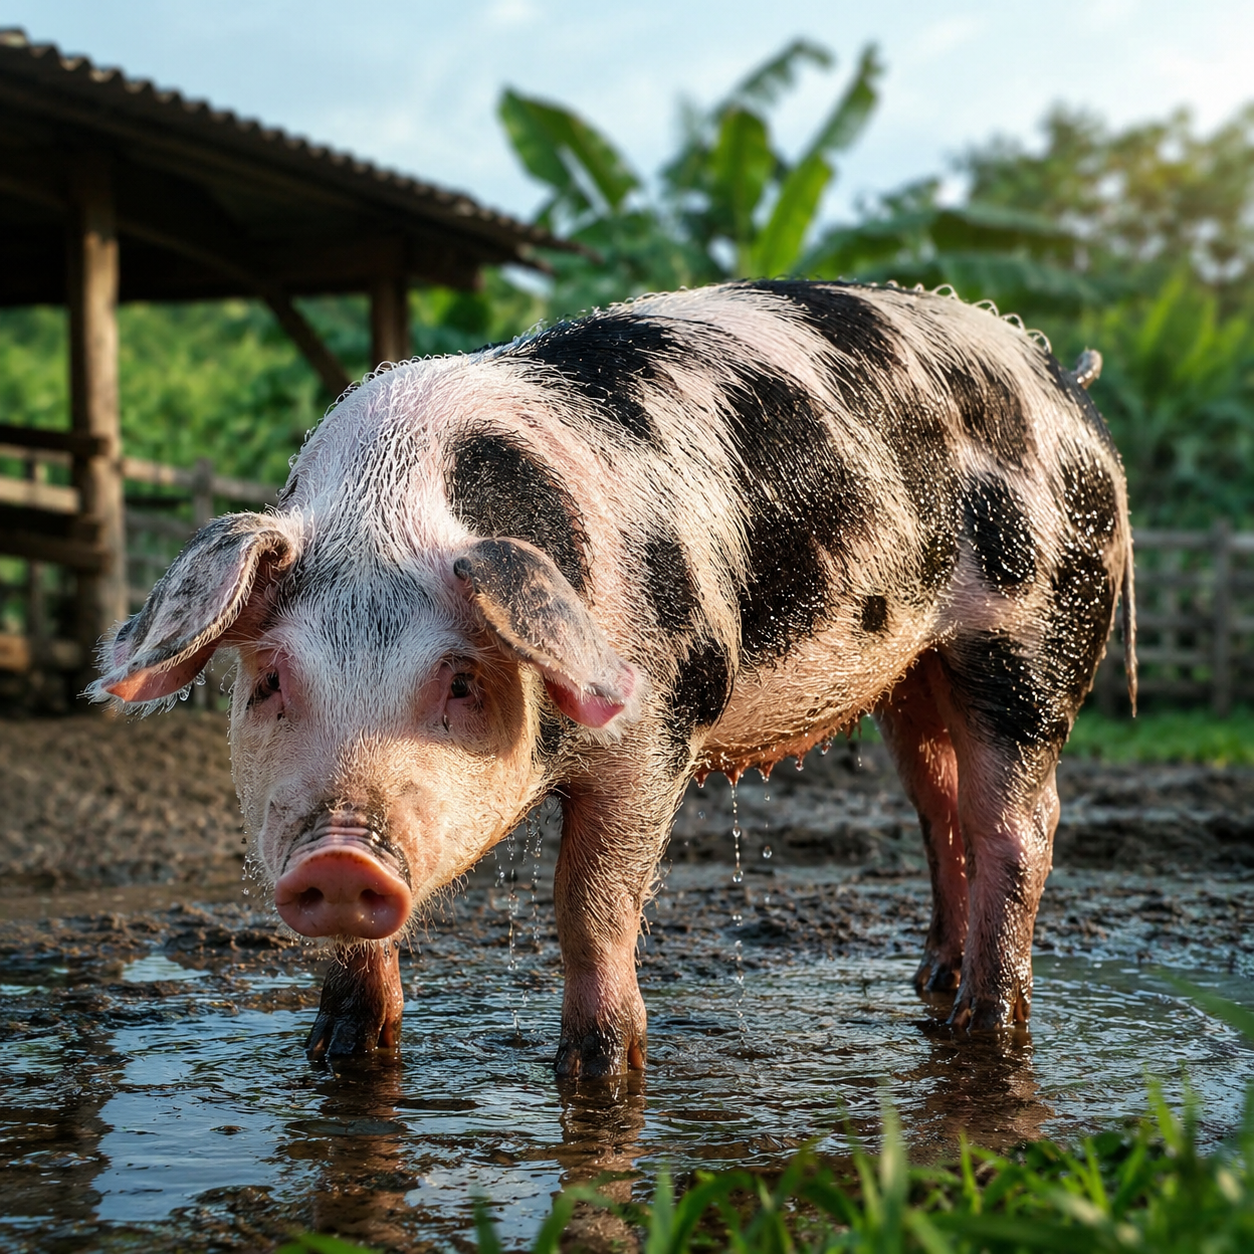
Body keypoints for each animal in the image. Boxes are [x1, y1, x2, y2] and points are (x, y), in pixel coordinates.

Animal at [92, 280, 1136, 1077]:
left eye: (461, 682)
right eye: (270, 680)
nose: (340, 858)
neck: (387, 505)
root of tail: (1060, 380)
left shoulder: (658, 726)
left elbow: (591, 902)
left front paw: (599, 1071)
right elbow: (359, 956)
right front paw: (339, 1060)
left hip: (1038, 632)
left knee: (1021, 824)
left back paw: (983, 1025)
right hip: (914, 673)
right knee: (941, 805)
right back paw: (935, 983)